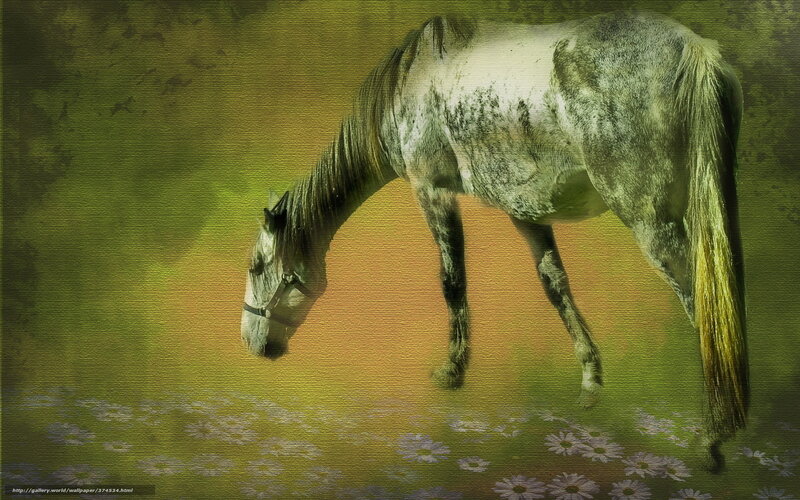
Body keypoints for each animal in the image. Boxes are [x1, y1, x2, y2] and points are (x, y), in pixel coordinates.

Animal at [240, 10, 747, 472]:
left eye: (256, 267)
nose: (252, 343)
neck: (413, 78)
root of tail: (693, 49)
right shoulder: (525, 210)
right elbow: (555, 284)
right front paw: (590, 381)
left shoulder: (432, 190)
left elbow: (453, 282)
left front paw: (452, 371)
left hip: (651, 222)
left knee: (702, 303)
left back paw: (711, 440)